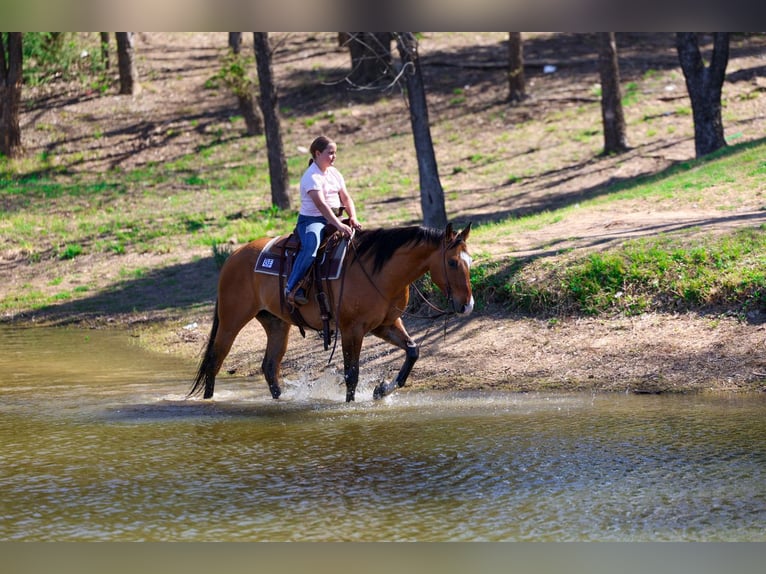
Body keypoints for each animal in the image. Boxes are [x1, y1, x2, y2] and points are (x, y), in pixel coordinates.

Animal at [189, 222, 474, 402]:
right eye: (452, 262)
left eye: (469, 261)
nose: (467, 305)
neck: (379, 272)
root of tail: (234, 256)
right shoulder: (352, 329)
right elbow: (351, 374)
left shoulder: (386, 324)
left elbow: (413, 351)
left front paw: (382, 390)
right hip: (231, 320)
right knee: (214, 361)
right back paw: (208, 402)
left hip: (276, 323)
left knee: (269, 367)